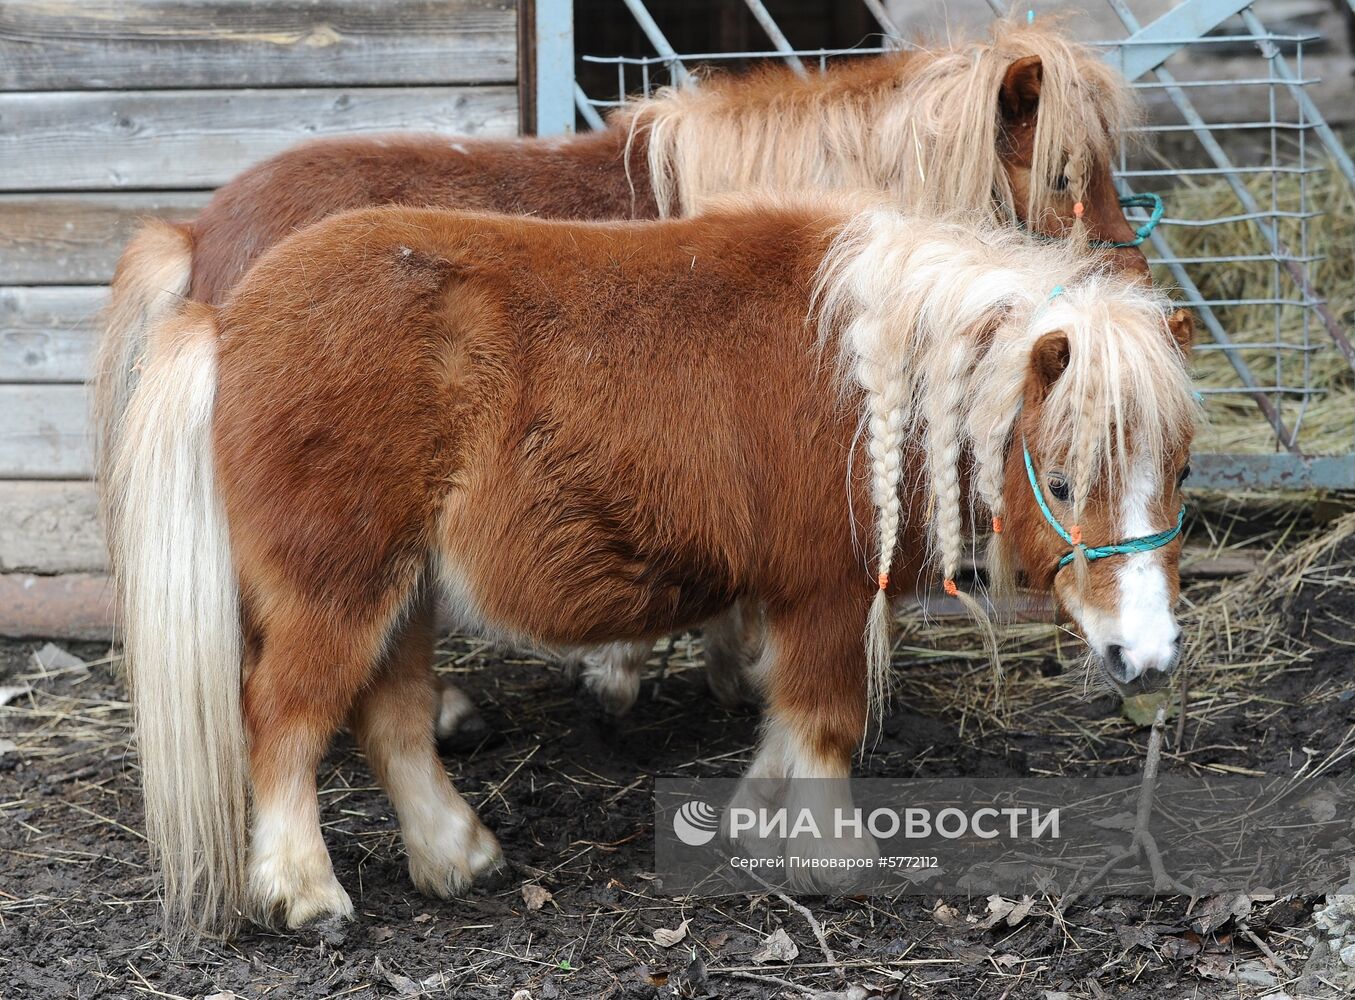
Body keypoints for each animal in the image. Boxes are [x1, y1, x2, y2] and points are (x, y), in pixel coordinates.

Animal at [113, 196, 1197, 932]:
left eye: (1179, 470)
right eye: (1061, 480)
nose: (1144, 657)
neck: (871, 369)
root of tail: (229, 319)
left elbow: (783, 724)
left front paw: (757, 822)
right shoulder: (824, 594)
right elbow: (825, 725)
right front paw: (834, 859)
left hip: (404, 589)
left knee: (391, 720)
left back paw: (457, 856)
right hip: (336, 587)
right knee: (284, 718)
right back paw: (303, 891)